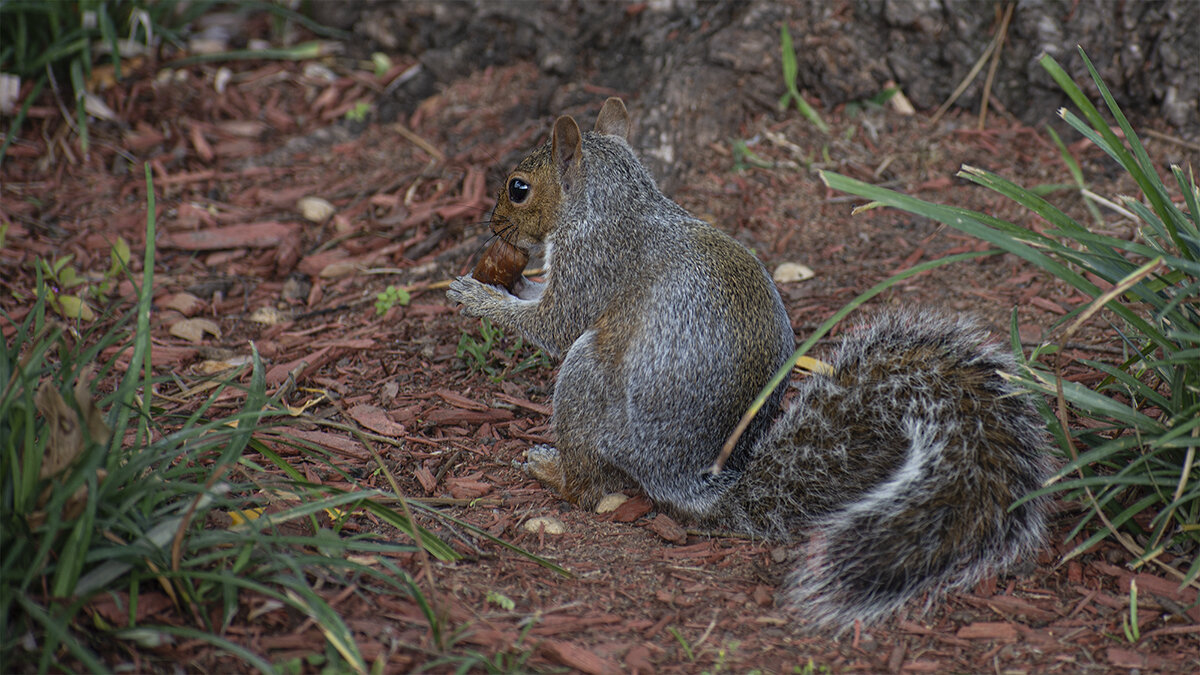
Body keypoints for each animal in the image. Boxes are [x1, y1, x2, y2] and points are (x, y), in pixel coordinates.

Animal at [444, 97, 1051, 629]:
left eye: (518, 189)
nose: (494, 228)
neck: (612, 201)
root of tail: (687, 477)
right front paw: (504, 279)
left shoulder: (594, 262)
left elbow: (554, 324)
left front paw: (476, 295)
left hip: (586, 378)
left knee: (586, 486)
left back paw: (551, 469)